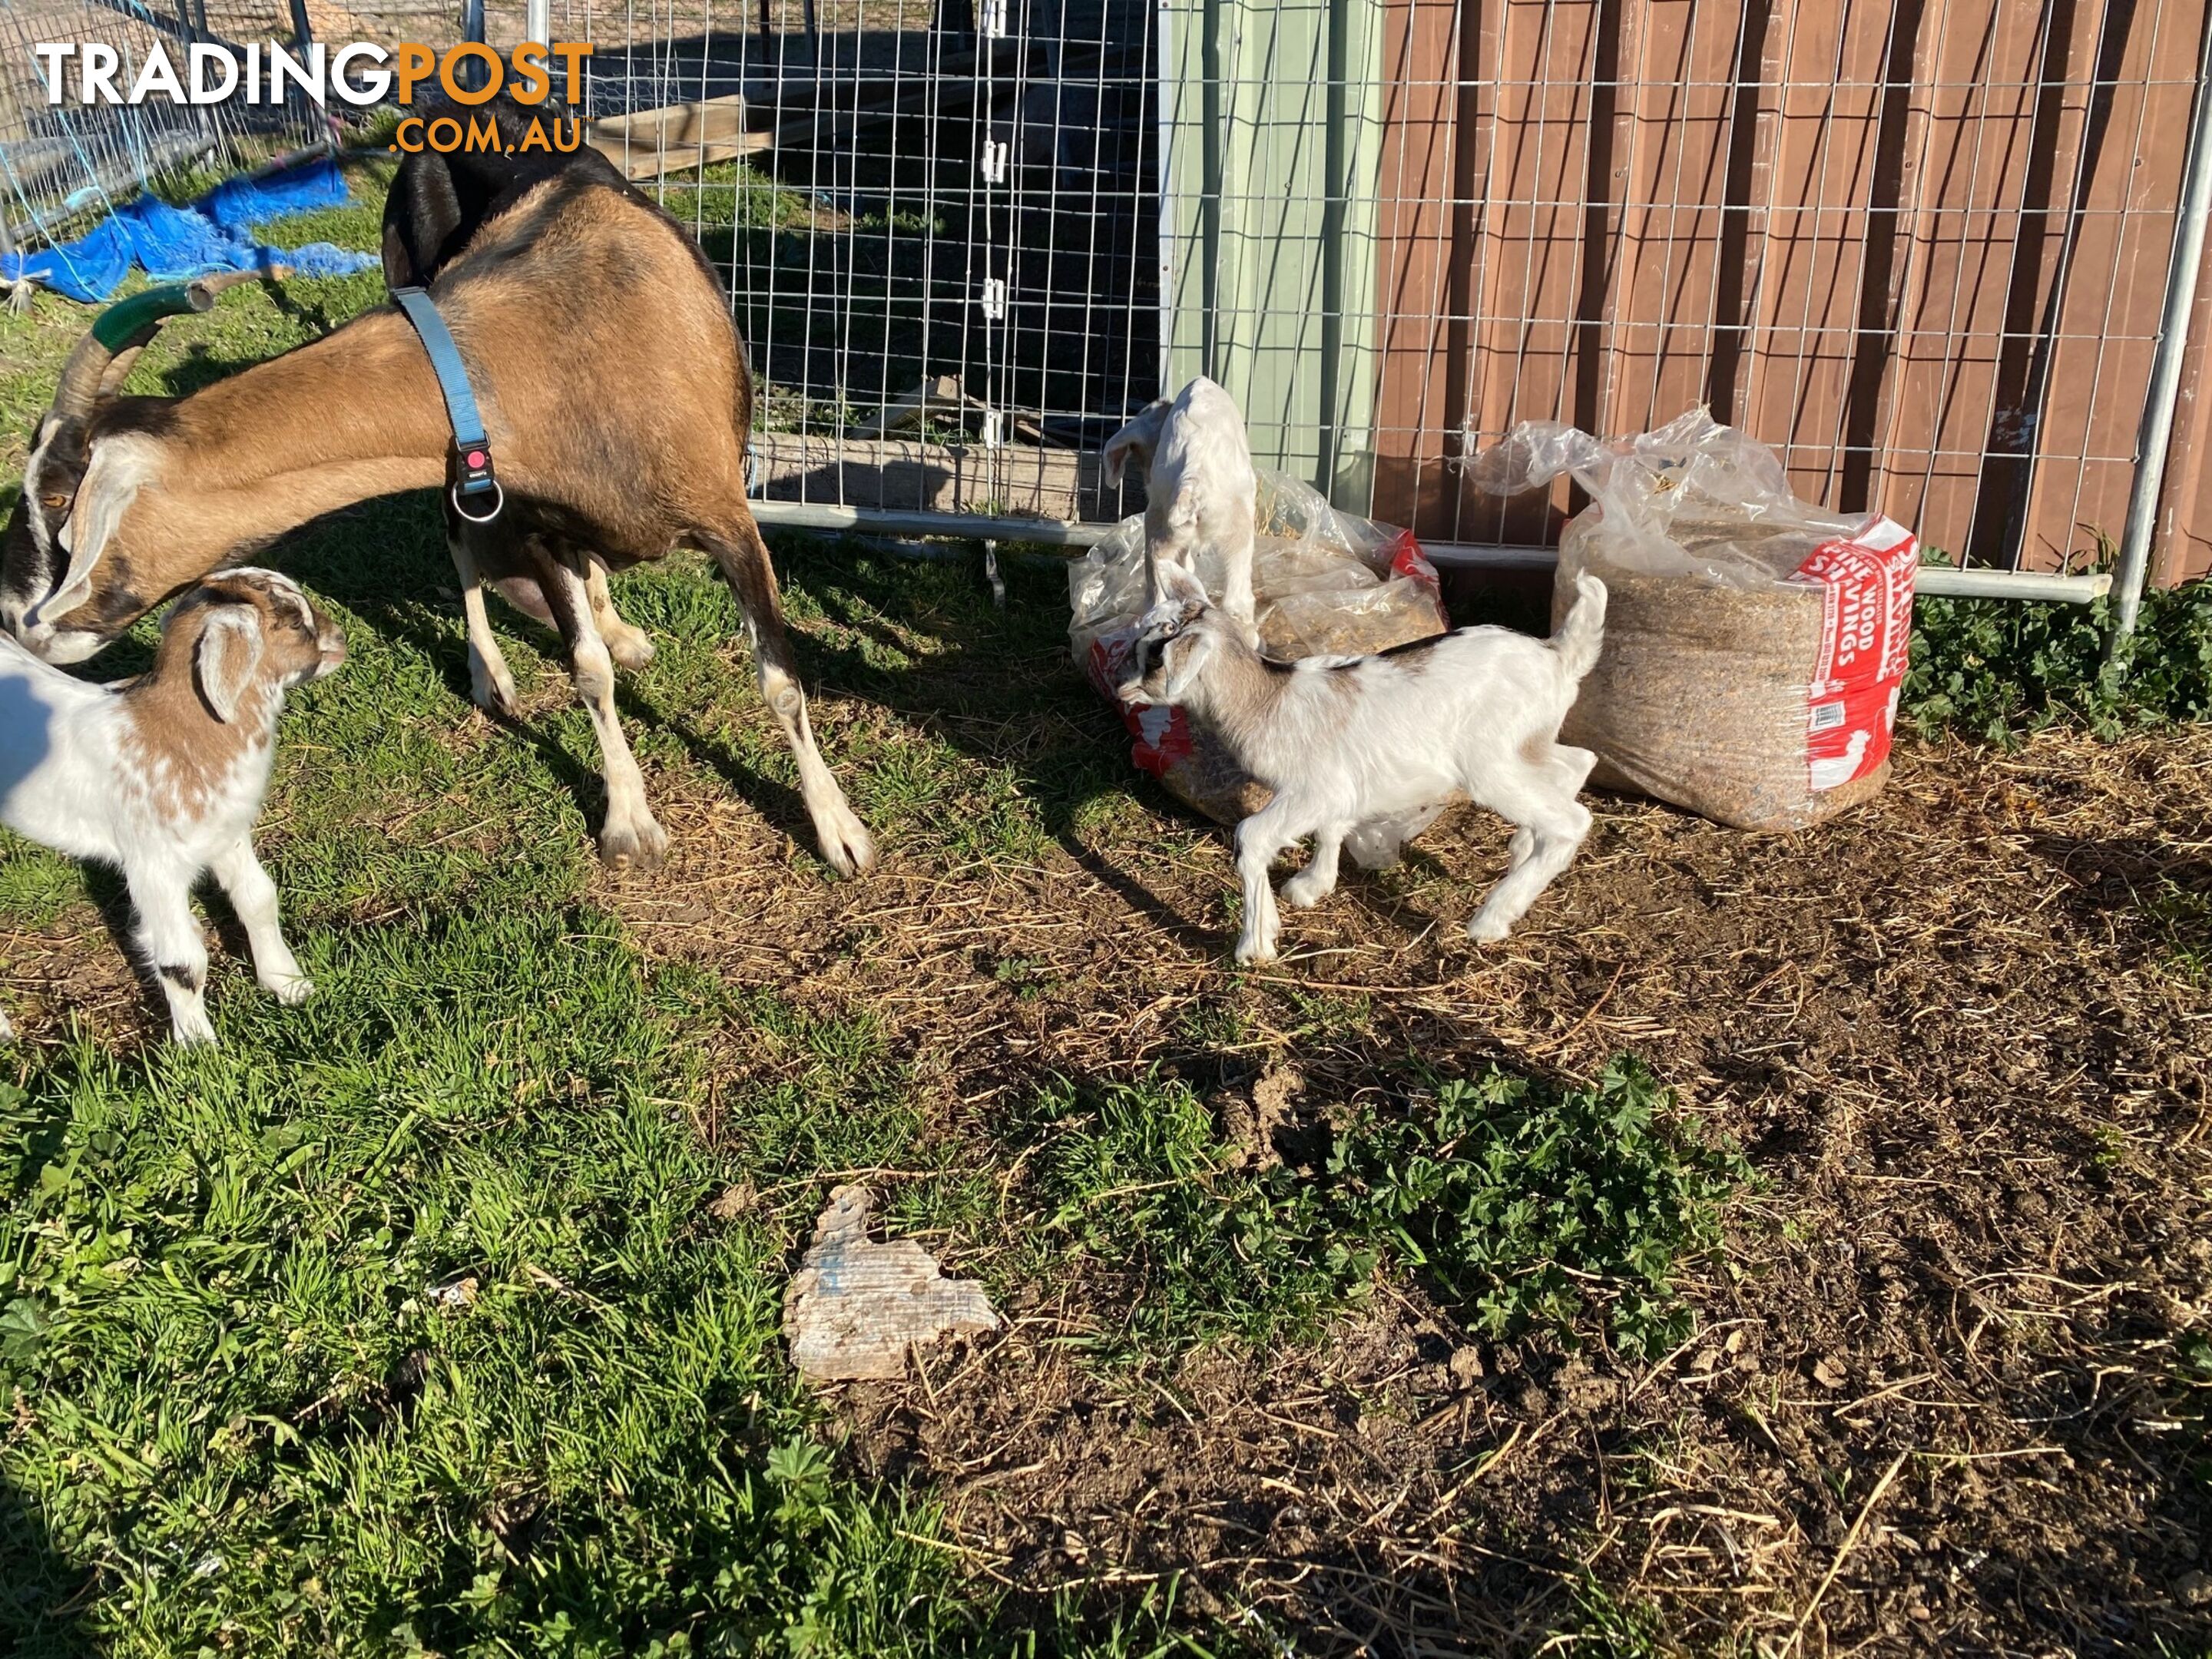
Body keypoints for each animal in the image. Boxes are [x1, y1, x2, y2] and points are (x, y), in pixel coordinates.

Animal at [0, 571, 345, 1039]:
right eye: (293, 620)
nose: (340, 639)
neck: (178, 734)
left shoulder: (227, 834)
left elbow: (258, 900)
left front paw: (289, 985)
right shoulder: (152, 866)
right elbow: (182, 962)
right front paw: (199, 1046)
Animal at [2, 121, 880, 876]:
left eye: (58, 504)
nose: (18, 622)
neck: (563, 343)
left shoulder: (731, 522)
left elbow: (779, 680)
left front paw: (839, 832)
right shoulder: (528, 516)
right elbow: (587, 671)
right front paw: (630, 823)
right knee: (457, 536)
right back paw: (495, 672)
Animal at [1124, 566, 1610, 969]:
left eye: (1155, 657)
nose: (1124, 688)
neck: (1265, 699)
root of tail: (1558, 656)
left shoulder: (1311, 790)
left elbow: (1253, 837)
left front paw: (1255, 945)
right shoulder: (1335, 785)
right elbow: (1332, 825)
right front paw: (1312, 885)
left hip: (1490, 762)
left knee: (1571, 819)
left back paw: (1491, 918)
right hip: (1528, 743)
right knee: (1576, 763)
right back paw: (1523, 848)